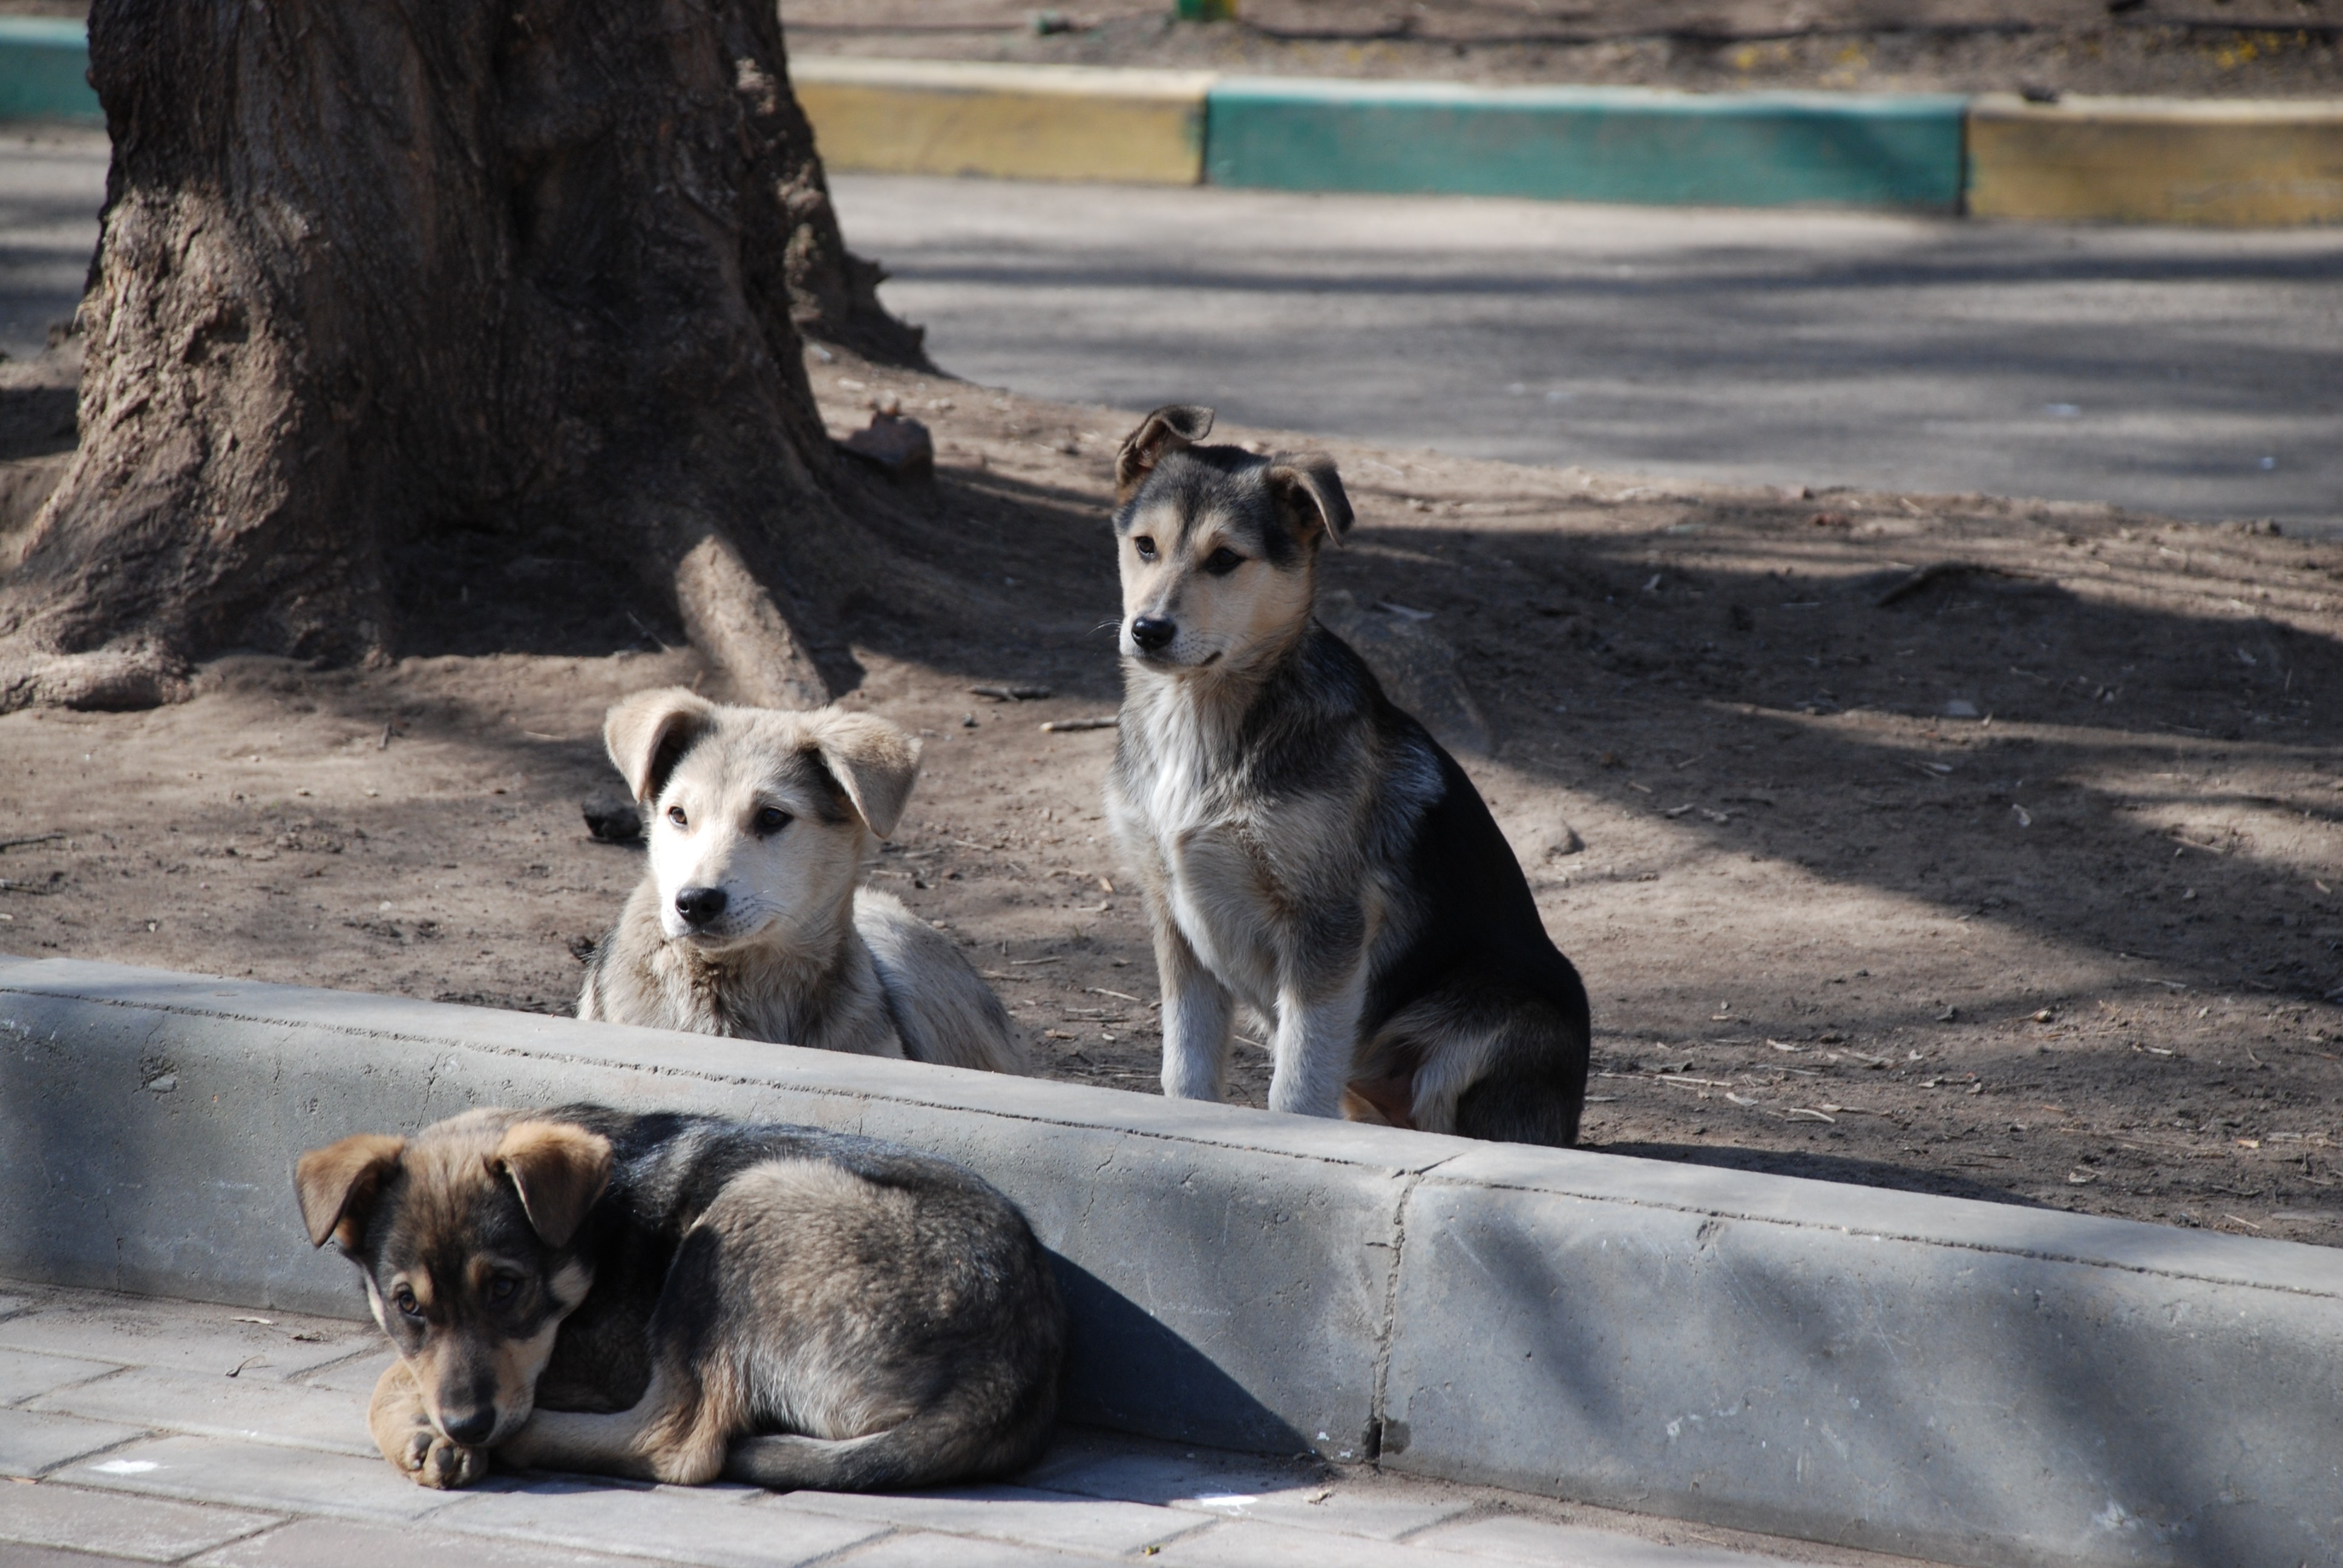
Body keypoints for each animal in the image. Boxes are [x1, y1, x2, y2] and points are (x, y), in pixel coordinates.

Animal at [297, 1106, 1068, 1491]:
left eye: (507, 1289)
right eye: (408, 1305)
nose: (466, 1426)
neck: (596, 1228)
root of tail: (1011, 1373)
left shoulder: (601, 1360)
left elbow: (391, 1376)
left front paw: (424, 1432)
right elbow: (406, 1367)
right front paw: (426, 1432)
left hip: (747, 1208)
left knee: (679, 1442)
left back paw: (524, 1444)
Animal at [1101, 400, 1593, 1138]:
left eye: (1225, 560)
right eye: (1145, 547)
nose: (1148, 631)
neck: (1202, 716)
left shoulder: (1325, 927)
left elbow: (1298, 1086)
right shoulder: (1173, 918)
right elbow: (1185, 1073)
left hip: (1496, 1024)